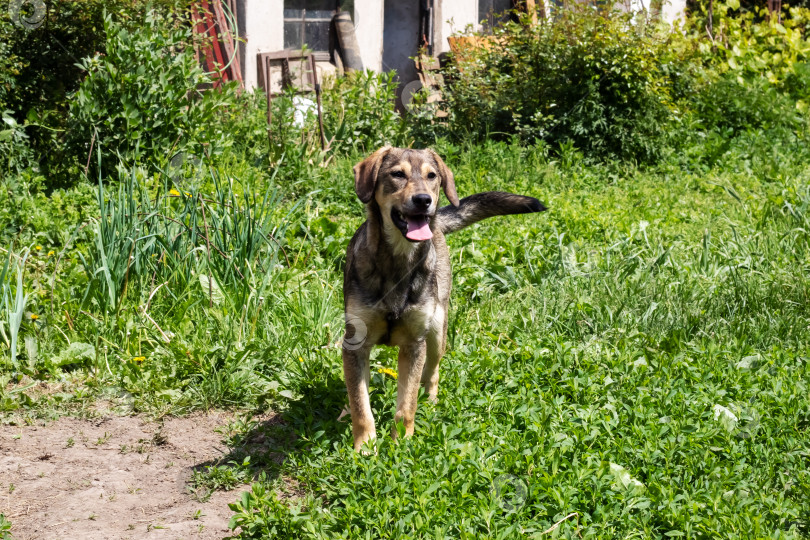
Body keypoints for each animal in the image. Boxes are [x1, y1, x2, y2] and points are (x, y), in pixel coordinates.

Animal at [340, 144, 544, 452]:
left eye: (432, 176)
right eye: (397, 174)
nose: (424, 200)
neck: (397, 262)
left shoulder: (414, 344)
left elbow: (406, 404)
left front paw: (402, 443)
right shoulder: (355, 344)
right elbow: (361, 405)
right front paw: (364, 447)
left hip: (437, 332)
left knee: (432, 373)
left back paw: (431, 402)